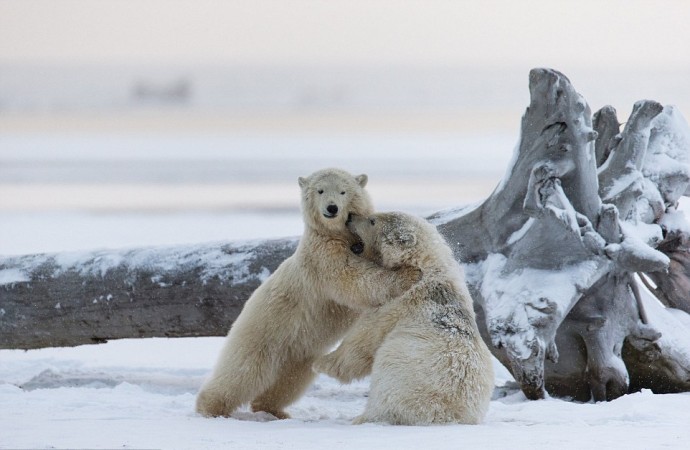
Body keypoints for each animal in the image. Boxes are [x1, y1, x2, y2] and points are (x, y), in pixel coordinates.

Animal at [195, 168, 420, 418]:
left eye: (343, 191)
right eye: (320, 190)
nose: (332, 208)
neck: (337, 236)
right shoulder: (322, 256)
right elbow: (353, 278)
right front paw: (408, 275)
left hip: (300, 348)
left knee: (290, 380)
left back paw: (274, 410)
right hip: (264, 329)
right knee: (243, 370)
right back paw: (210, 408)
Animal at [312, 211, 494, 426]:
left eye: (372, 220)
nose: (349, 216)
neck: (424, 267)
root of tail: (448, 417)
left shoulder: (396, 303)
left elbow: (360, 344)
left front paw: (320, 362)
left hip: (397, 383)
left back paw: (361, 417)